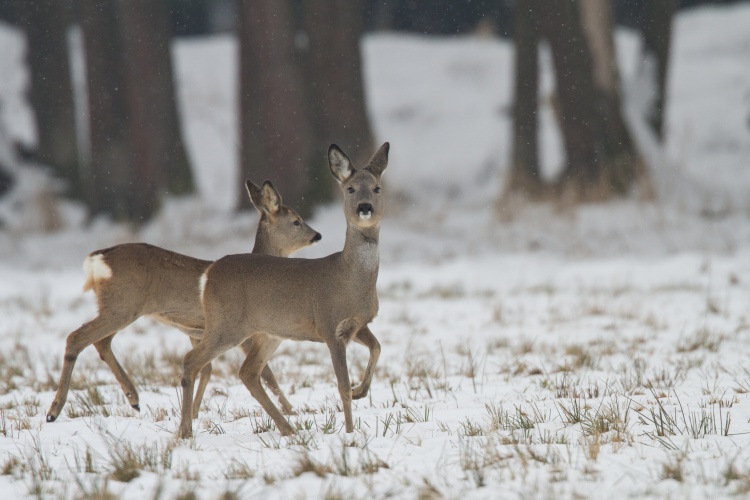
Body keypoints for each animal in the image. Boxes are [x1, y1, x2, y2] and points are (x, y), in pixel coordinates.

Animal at [44, 180, 320, 422]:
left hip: (116, 307)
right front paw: (291, 411)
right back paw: (54, 411)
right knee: (77, 337)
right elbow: (266, 373)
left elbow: (206, 369)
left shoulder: (197, 331)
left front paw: (194, 413)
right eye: (296, 221)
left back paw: (134, 398)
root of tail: (96, 259)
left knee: (101, 342)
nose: (317, 235)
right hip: (123, 306)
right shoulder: (245, 330)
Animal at [179, 143, 390, 440]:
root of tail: (208, 274)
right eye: (350, 189)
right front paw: (350, 432)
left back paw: (288, 428)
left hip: (266, 332)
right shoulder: (329, 325)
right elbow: (341, 386)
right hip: (226, 325)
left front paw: (361, 390)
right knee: (191, 361)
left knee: (247, 372)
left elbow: (377, 348)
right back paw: (185, 431)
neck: (350, 279)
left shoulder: (358, 324)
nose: (364, 207)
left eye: (376, 188)